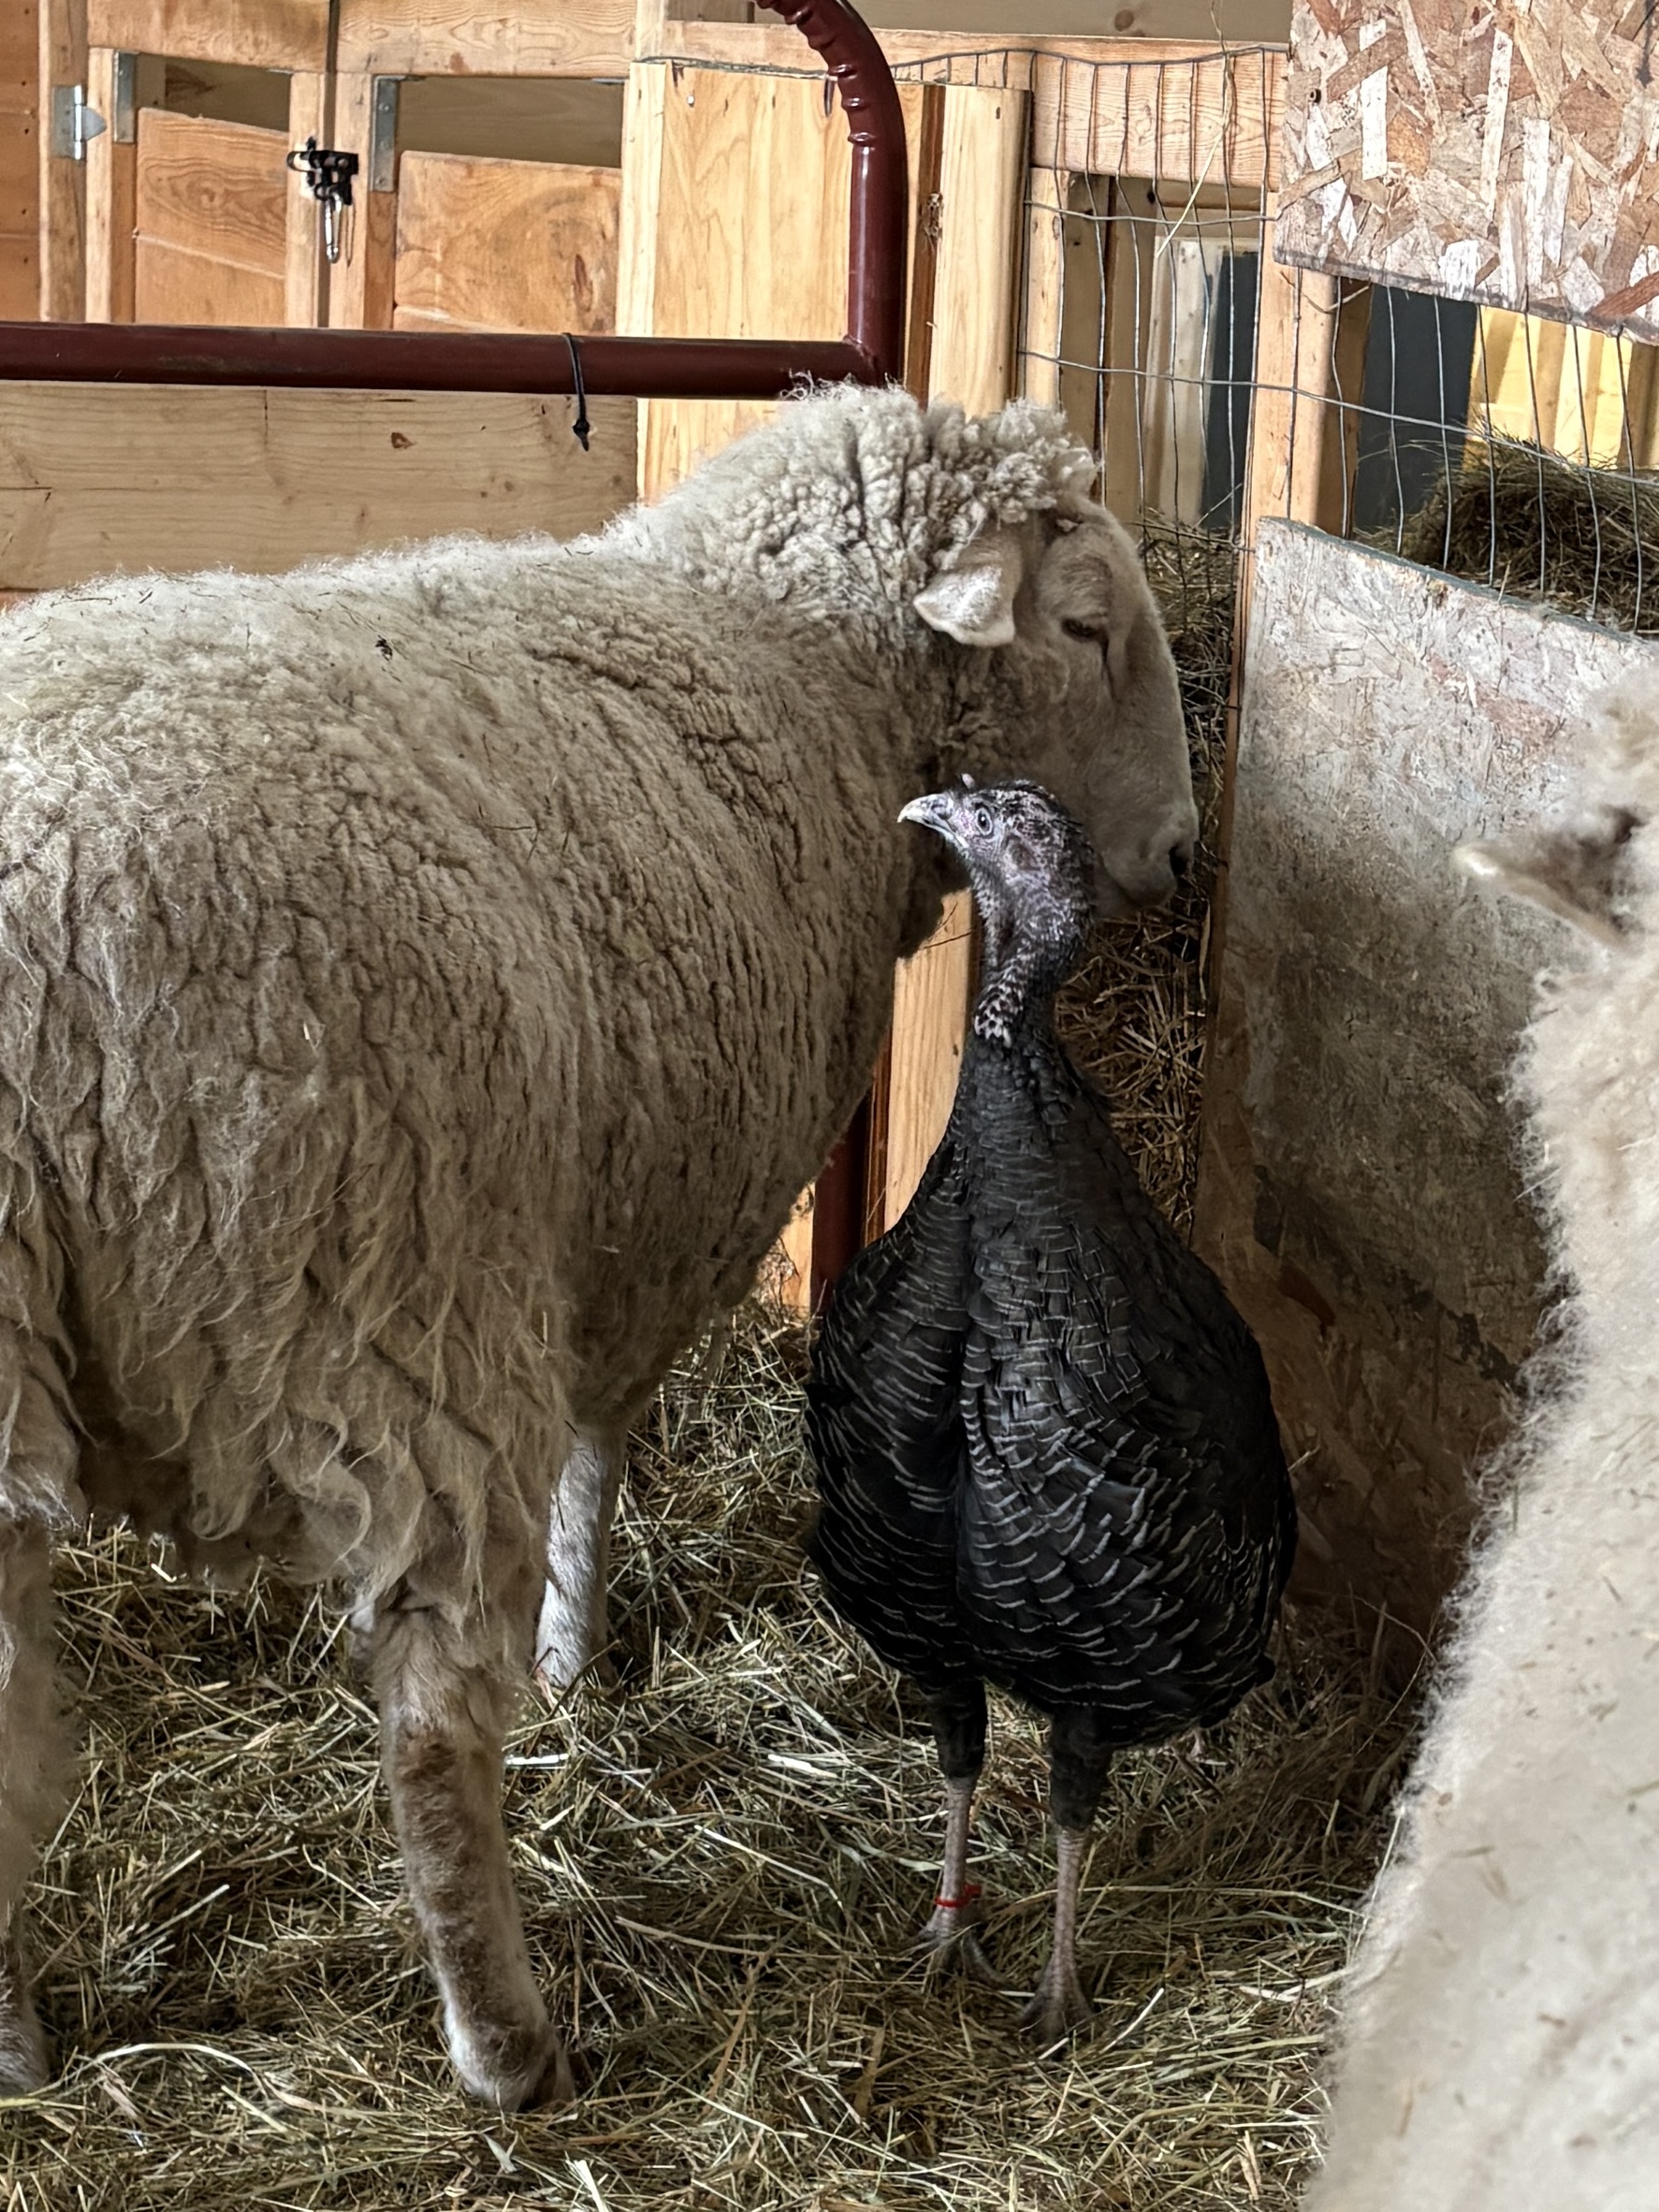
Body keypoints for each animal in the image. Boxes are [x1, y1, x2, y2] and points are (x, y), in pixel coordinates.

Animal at [0, 383, 1195, 2111]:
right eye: (1089, 623)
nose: (1180, 853)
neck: (795, 662)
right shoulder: (648, 1223)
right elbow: (596, 1447)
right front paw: (579, 1650)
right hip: (397, 1292)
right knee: (433, 1720)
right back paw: (507, 2041)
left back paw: (16, 2034)